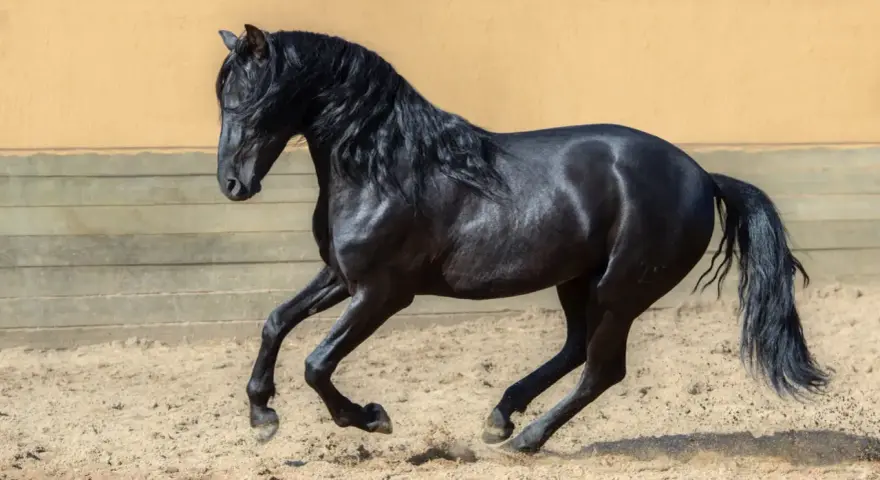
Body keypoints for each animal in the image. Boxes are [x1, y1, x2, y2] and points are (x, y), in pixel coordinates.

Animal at [214, 24, 830, 454]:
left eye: (254, 99)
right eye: (222, 100)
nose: (232, 184)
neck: (386, 169)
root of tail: (703, 176)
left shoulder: (383, 294)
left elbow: (317, 363)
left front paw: (370, 417)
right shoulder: (343, 277)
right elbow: (275, 322)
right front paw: (262, 416)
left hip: (621, 291)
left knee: (602, 369)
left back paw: (528, 438)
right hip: (579, 281)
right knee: (577, 349)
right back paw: (501, 417)